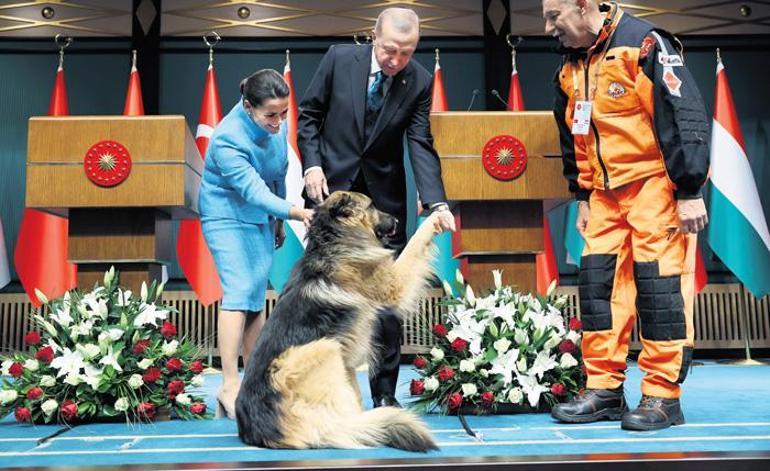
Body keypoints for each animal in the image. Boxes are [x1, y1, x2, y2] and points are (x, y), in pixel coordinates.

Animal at [234, 190, 438, 452]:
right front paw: (435, 219)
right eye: (372, 205)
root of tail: (265, 430)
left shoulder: (347, 364)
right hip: (325, 347)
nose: (395, 221)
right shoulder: (395, 283)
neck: (333, 240)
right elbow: (414, 244)